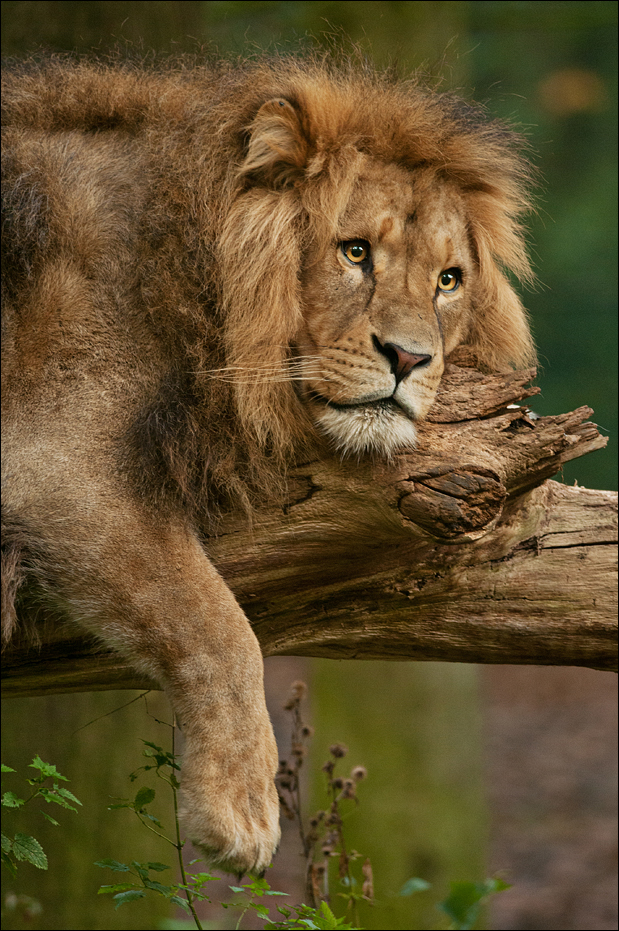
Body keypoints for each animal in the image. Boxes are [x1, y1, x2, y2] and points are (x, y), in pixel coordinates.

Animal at [1, 53, 535, 874]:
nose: (409, 358)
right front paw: (242, 812)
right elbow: (218, 624)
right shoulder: (52, 458)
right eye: (355, 251)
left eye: (448, 280)